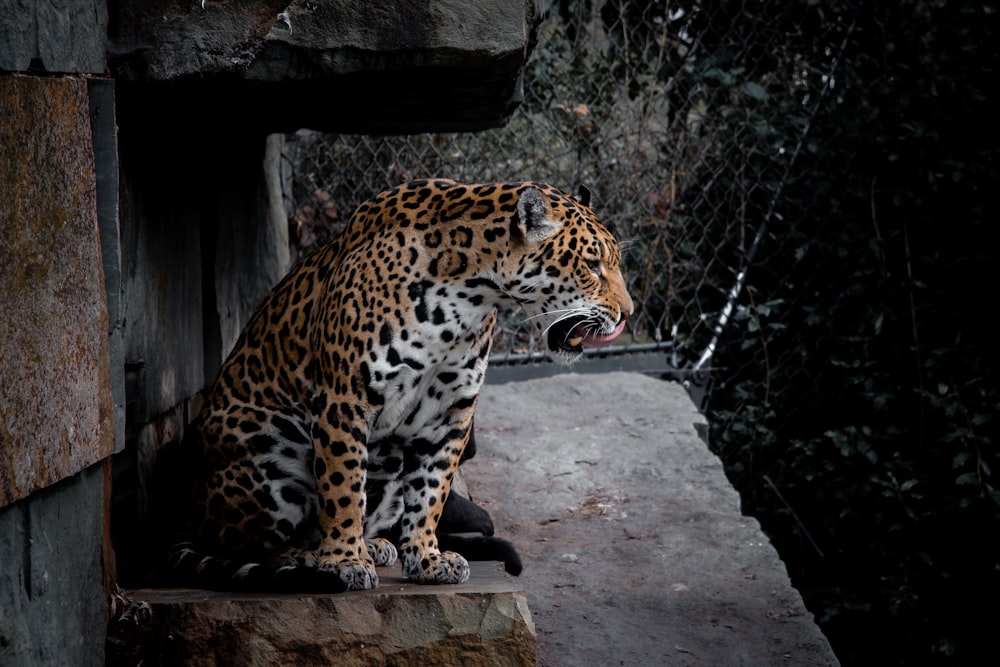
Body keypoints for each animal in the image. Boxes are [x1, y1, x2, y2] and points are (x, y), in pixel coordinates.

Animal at [166, 179, 632, 596]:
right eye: (592, 265)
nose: (627, 314)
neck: (469, 298)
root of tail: (186, 508)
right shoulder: (344, 399)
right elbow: (342, 489)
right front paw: (345, 562)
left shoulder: (450, 413)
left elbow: (431, 493)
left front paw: (427, 559)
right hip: (266, 454)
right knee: (238, 542)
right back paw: (309, 557)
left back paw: (374, 546)